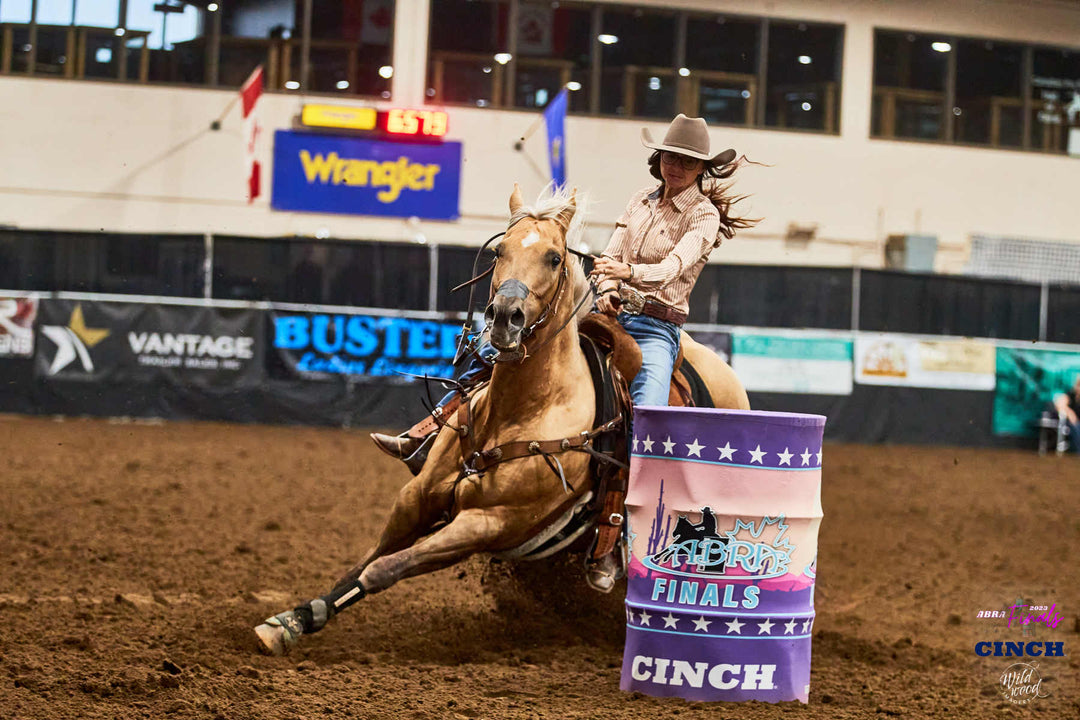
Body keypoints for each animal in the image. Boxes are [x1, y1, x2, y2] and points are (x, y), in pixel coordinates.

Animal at [254, 183, 750, 655]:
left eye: (554, 257)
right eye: (500, 252)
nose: (504, 318)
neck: (523, 411)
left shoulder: (489, 524)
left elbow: (383, 569)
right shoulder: (418, 496)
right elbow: (368, 558)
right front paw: (293, 619)